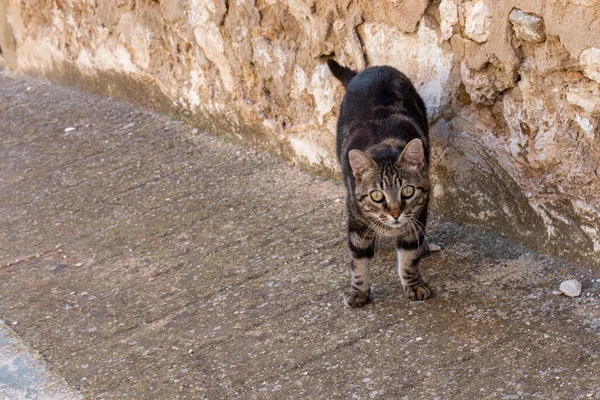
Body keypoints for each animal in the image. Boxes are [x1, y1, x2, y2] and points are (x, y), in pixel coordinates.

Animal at [328, 59, 432, 308]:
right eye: (377, 196)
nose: (395, 214)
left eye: (407, 191)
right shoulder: (356, 223)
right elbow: (358, 261)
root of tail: (372, 68)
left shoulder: (417, 217)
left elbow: (409, 257)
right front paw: (358, 291)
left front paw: (413, 284)